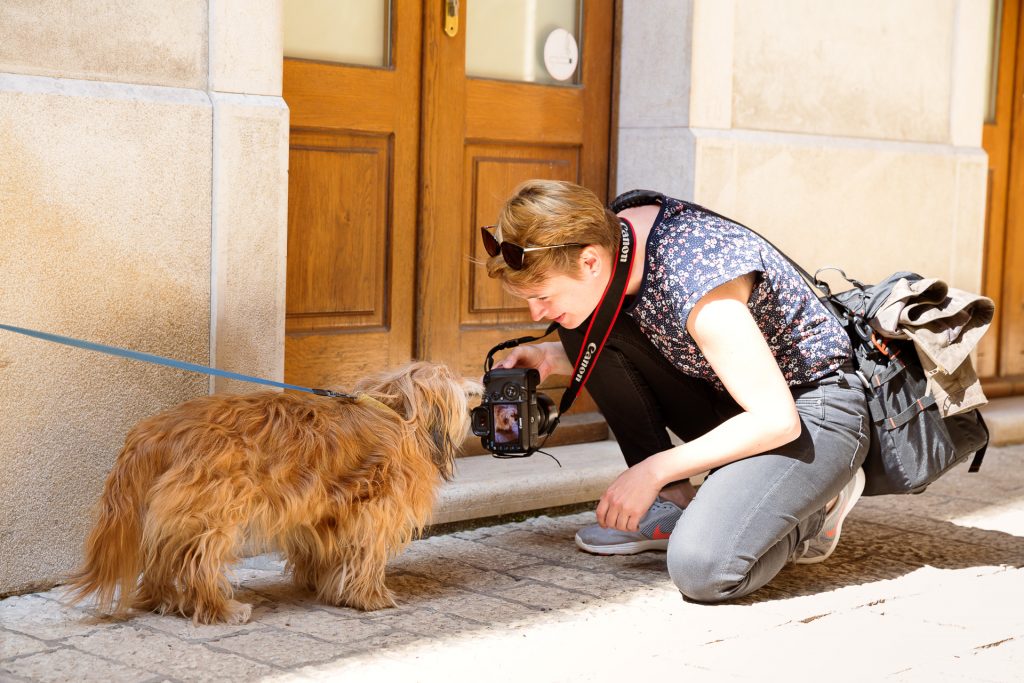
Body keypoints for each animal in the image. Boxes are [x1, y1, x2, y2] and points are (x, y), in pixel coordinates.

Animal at [65, 362, 479, 626]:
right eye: (455, 378)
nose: (480, 385)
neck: (397, 411)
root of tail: (157, 431)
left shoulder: (322, 512)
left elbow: (323, 551)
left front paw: (323, 585)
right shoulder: (373, 511)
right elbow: (365, 556)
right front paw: (369, 597)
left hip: (180, 514)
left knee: (163, 558)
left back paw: (167, 600)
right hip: (213, 512)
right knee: (196, 562)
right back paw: (219, 609)